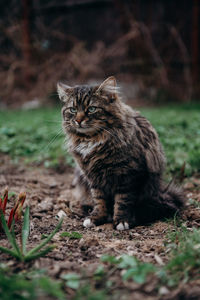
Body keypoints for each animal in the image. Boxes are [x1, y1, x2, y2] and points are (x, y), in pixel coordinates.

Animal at [57, 75, 185, 230]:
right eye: (73, 110)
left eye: (92, 109)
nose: (78, 120)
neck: (92, 139)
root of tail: (160, 192)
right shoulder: (94, 178)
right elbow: (99, 200)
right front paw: (96, 218)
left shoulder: (128, 175)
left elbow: (123, 201)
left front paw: (121, 221)